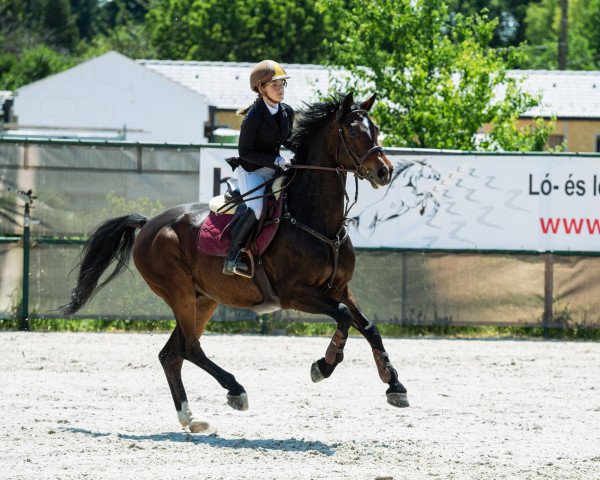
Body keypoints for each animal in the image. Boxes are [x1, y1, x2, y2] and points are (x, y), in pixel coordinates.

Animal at [62, 92, 408, 434]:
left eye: (375, 129)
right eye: (352, 131)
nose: (385, 172)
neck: (317, 222)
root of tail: (148, 224)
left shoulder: (339, 288)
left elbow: (368, 326)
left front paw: (394, 386)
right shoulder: (295, 294)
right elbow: (344, 316)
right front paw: (324, 365)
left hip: (204, 299)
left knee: (171, 354)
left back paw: (191, 418)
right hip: (179, 293)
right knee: (189, 348)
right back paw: (235, 390)